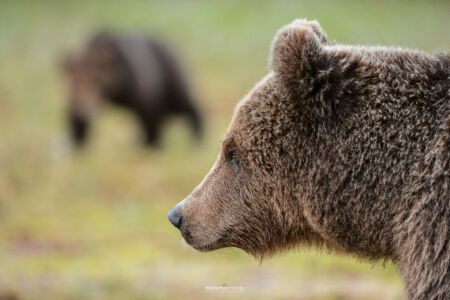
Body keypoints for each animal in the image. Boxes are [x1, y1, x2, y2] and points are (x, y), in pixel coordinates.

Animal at [60, 31, 201, 147]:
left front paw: (152, 143)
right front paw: (77, 141)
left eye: (95, 81)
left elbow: (149, 114)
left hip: (172, 81)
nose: (85, 109)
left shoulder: (144, 87)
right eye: (74, 83)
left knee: (187, 105)